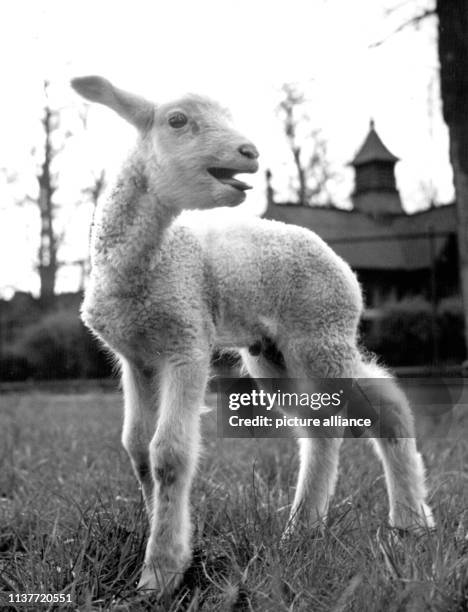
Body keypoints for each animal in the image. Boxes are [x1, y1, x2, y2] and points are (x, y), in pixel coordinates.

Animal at [70, 75, 436, 592]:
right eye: (176, 120)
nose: (249, 151)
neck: (147, 263)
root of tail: (337, 259)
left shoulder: (188, 341)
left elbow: (169, 454)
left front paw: (161, 572)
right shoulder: (136, 356)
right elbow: (138, 449)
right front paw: (166, 539)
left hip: (321, 332)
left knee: (385, 406)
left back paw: (409, 524)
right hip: (274, 353)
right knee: (321, 426)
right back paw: (303, 530)